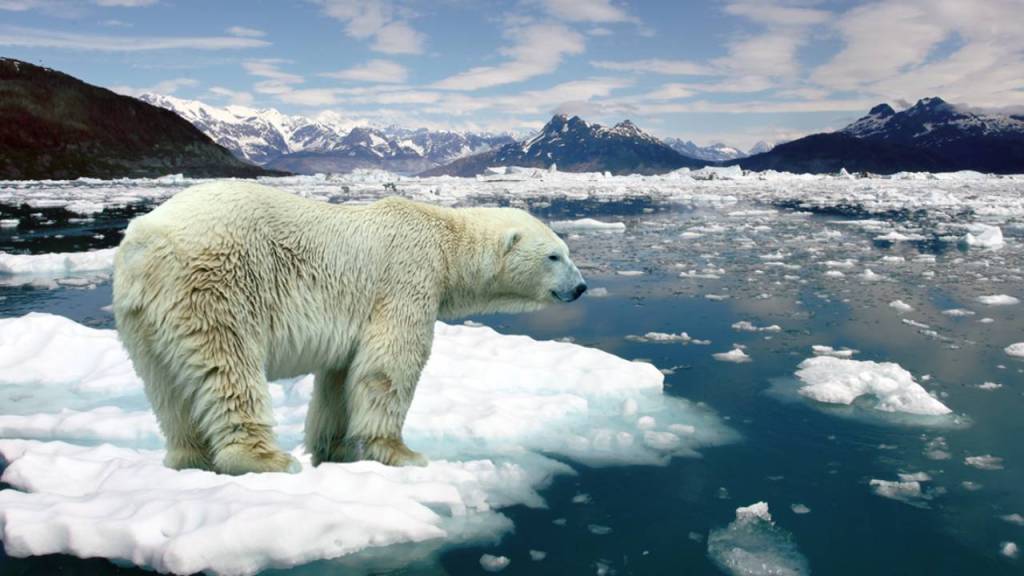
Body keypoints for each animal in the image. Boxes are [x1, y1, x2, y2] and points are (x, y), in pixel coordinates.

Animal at [112, 181, 586, 475]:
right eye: (554, 256)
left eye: (565, 251)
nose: (581, 287)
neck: (444, 240)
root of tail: (147, 240)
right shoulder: (407, 277)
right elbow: (389, 365)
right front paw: (402, 453)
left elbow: (340, 378)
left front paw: (334, 449)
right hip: (215, 284)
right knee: (228, 367)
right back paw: (265, 459)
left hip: (142, 315)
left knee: (166, 386)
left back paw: (189, 458)